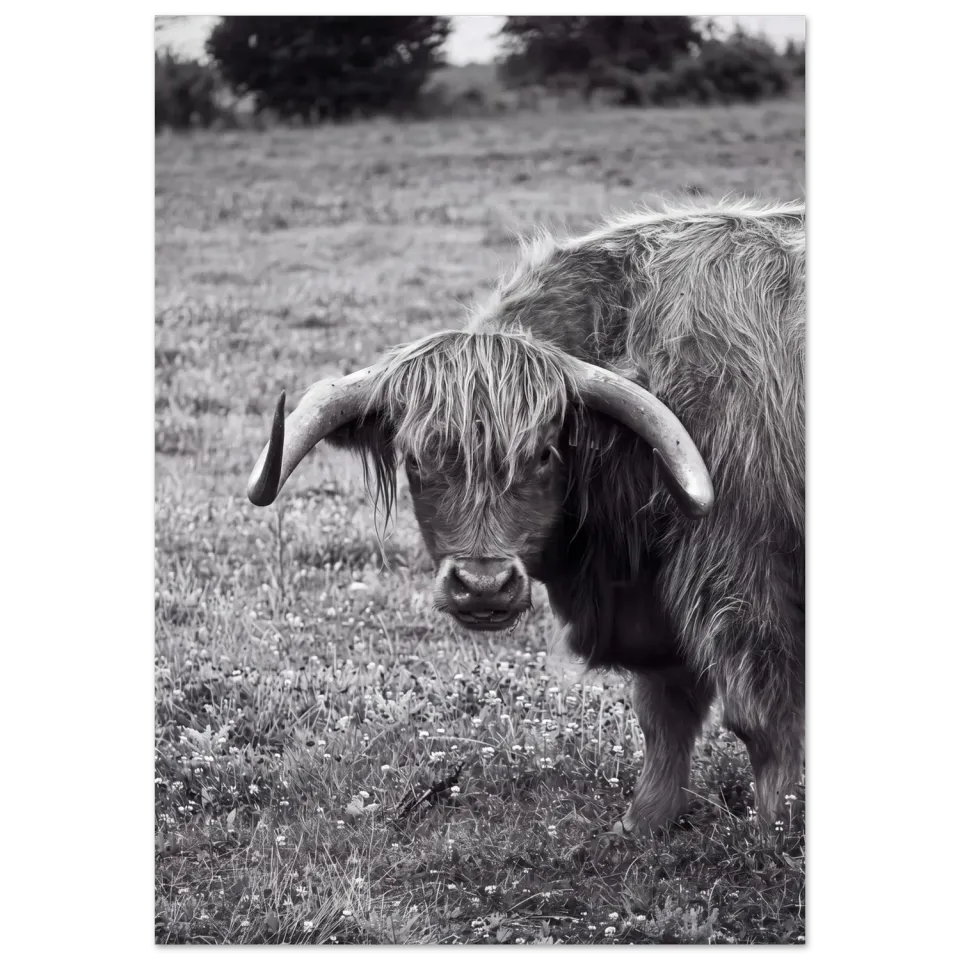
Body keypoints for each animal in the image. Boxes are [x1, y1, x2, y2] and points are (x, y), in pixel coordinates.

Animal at [246, 197, 808, 836]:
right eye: (416, 458)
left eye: (543, 453)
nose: (483, 585)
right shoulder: (658, 607)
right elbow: (663, 711)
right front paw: (643, 822)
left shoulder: (748, 579)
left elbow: (761, 721)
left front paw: (775, 832)